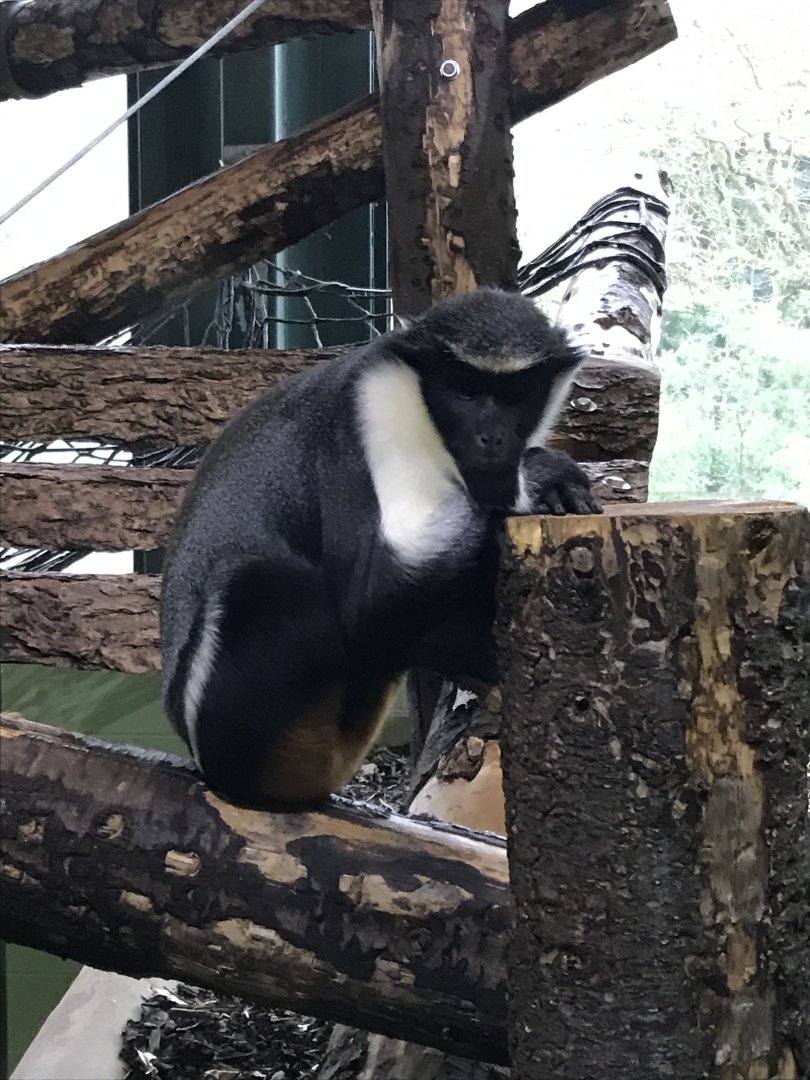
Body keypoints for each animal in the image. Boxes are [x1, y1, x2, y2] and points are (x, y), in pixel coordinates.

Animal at [160, 288, 601, 806]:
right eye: (465, 392)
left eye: (514, 396)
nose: (492, 438)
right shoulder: (367, 413)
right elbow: (372, 600)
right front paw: (540, 475)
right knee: (258, 582)